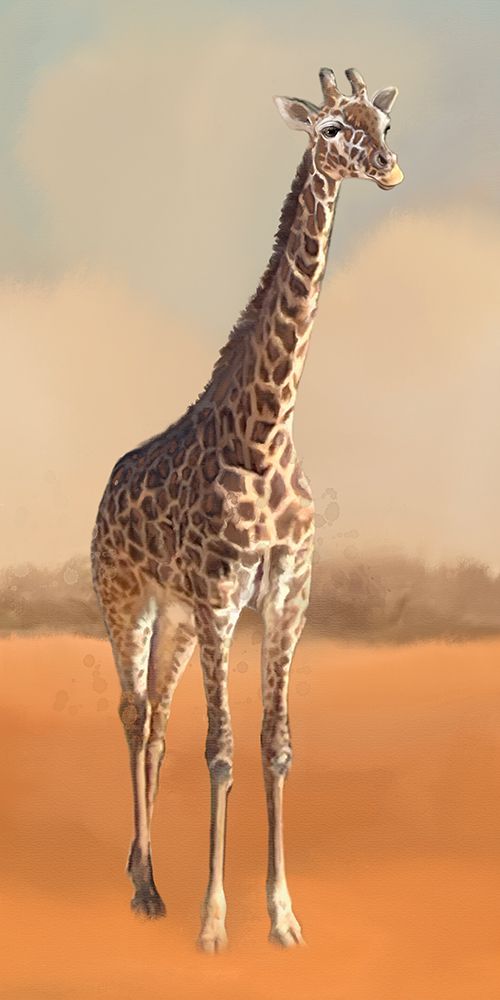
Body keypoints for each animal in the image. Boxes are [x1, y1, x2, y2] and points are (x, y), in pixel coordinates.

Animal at [91, 65, 403, 952]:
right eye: (331, 128)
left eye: (382, 123)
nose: (388, 168)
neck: (267, 434)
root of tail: (106, 489)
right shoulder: (224, 599)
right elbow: (223, 749)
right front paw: (214, 922)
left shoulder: (287, 595)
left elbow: (275, 745)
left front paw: (283, 915)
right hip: (127, 601)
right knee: (133, 713)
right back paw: (149, 889)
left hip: (175, 617)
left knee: (158, 721)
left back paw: (140, 870)